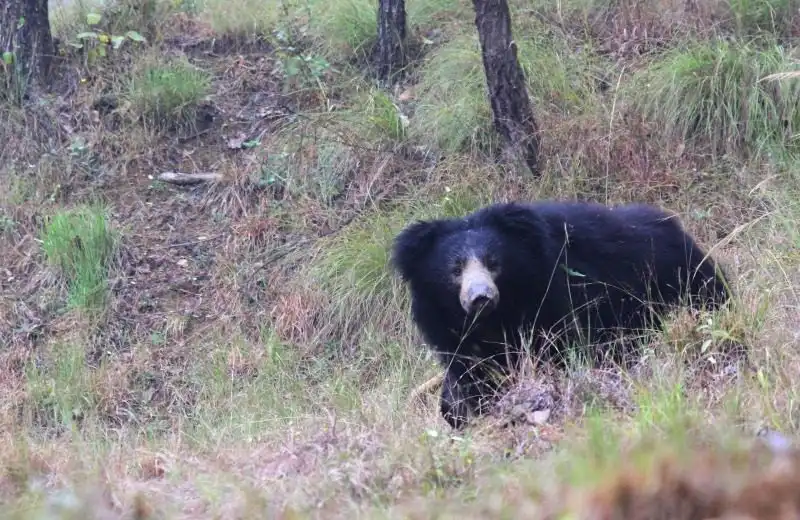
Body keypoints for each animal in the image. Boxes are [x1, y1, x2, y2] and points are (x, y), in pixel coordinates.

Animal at [391, 200, 731, 429]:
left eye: (493, 263)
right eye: (455, 270)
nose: (480, 298)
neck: (497, 317)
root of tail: (675, 226)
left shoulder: (552, 296)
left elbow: (561, 347)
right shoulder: (449, 327)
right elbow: (470, 372)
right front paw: (463, 410)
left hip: (681, 281)